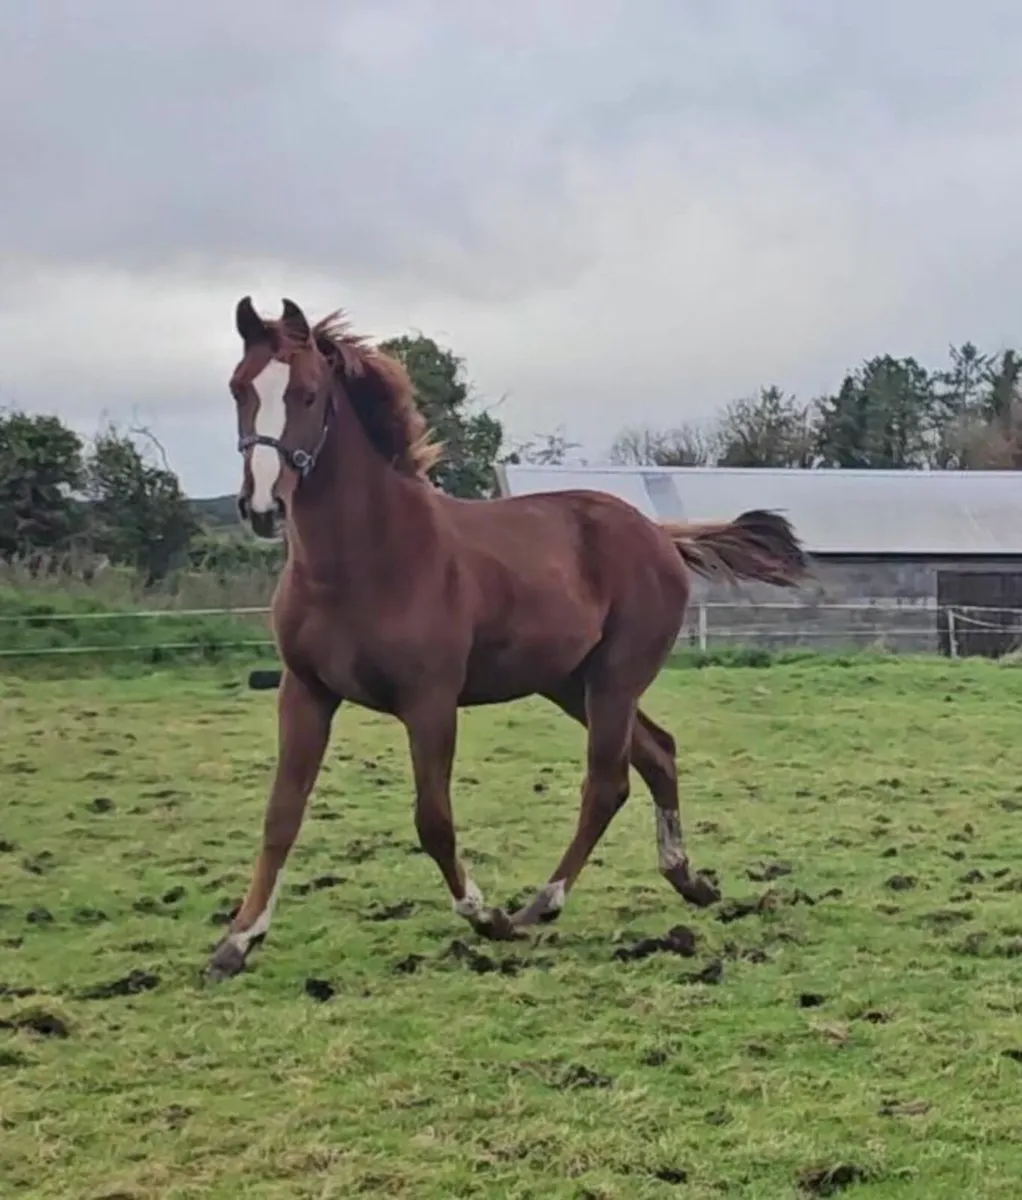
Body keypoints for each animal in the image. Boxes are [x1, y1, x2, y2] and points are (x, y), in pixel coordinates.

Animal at [206, 296, 809, 982]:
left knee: (608, 782)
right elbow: (281, 814)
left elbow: (433, 820)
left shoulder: (430, 701)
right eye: (238, 388)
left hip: (615, 679)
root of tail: (658, 533)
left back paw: (540, 904)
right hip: (570, 683)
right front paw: (237, 941)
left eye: (307, 394)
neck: (364, 561)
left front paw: (485, 916)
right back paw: (688, 880)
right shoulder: (305, 692)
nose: (262, 507)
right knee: (657, 753)